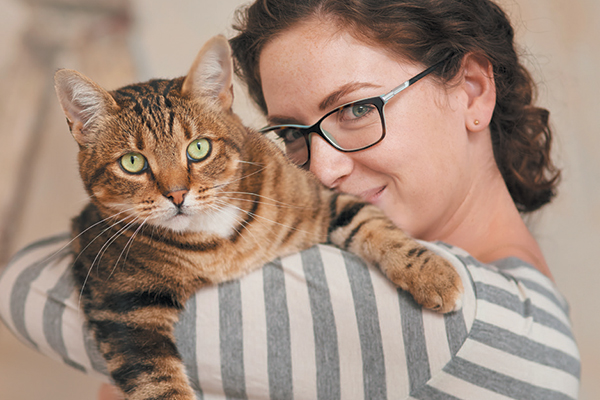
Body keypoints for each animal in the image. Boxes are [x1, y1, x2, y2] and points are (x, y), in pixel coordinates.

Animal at [52, 36, 464, 398]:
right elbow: (155, 380)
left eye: (198, 148)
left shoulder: (322, 199)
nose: (177, 194)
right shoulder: (120, 302)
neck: (219, 244)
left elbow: (373, 223)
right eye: (132, 163)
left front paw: (434, 274)